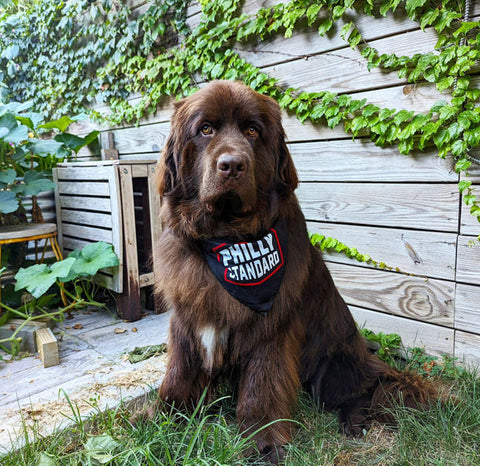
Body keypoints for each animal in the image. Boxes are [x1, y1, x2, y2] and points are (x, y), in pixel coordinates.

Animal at [150, 80, 438, 462]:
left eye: (253, 131)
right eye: (206, 129)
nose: (232, 165)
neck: (225, 237)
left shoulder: (270, 328)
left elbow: (262, 385)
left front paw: (263, 441)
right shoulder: (188, 316)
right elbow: (179, 370)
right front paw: (165, 418)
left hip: (335, 361)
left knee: (364, 390)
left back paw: (355, 421)